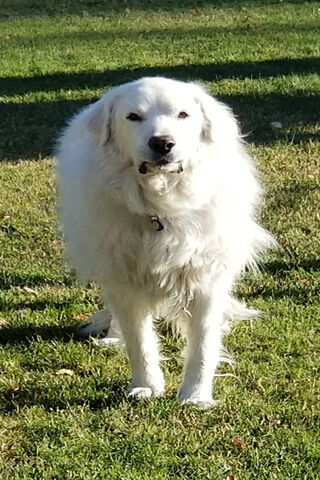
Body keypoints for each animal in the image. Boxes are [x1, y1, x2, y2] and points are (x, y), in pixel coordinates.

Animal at [57, 77, 272, 406]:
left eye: (182, 114)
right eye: (133, 117)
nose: (162, 143)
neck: (159, 208)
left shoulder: (206, 279)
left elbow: (202, 345)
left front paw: (195, 395)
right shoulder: (124, 281)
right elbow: (139, 341)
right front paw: (146, 386)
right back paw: (113, 335)